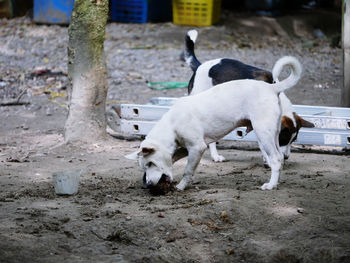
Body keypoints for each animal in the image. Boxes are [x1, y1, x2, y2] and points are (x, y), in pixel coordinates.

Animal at [127, 56, 302, 192]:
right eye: (145, 166)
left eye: (150, 163)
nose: (148, 184)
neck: (172, 124)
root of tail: (272, 88)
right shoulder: (186, 148)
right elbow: (174, 160)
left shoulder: (197, 148)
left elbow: (188, 170)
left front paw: (181, 186)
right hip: (273, 134)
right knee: (280, 157)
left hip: (263, 132)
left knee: (276, 159)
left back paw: (271, 185)